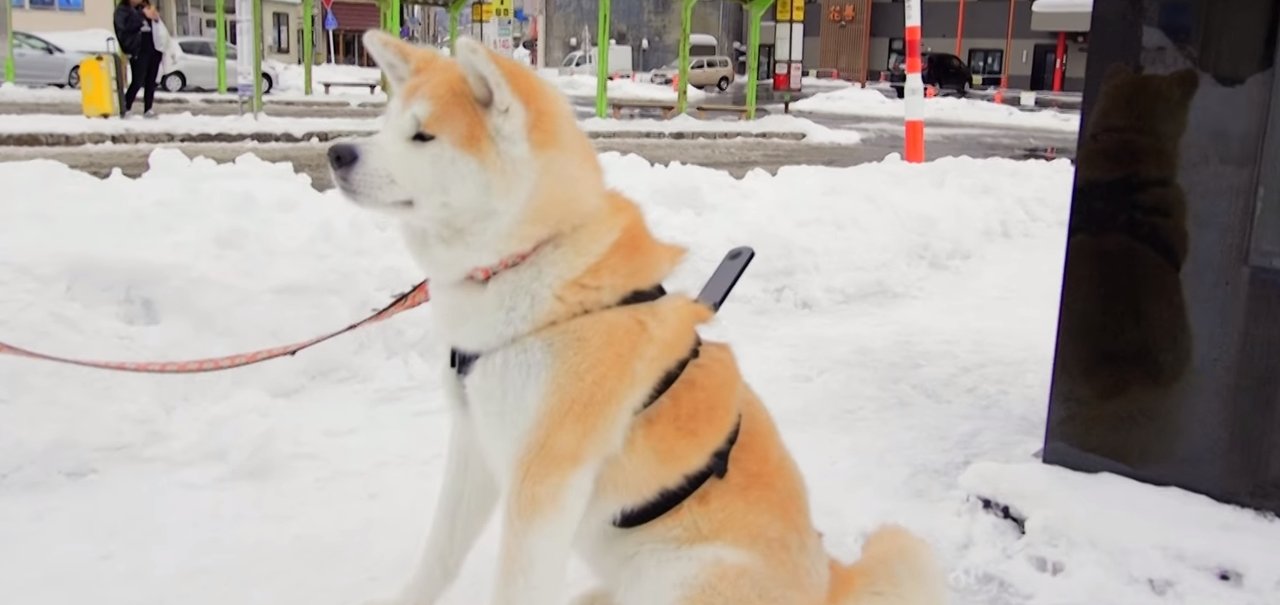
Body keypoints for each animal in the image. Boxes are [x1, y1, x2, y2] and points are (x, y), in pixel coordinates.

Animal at [330, 29, 947, 605]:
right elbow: (438, 558)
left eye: (423, 135)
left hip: (680, 574)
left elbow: (515, 584)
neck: (532, 267)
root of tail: (828, 583)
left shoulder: (544, 476)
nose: (338, 152)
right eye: (386, 125)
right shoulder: (476, 443)